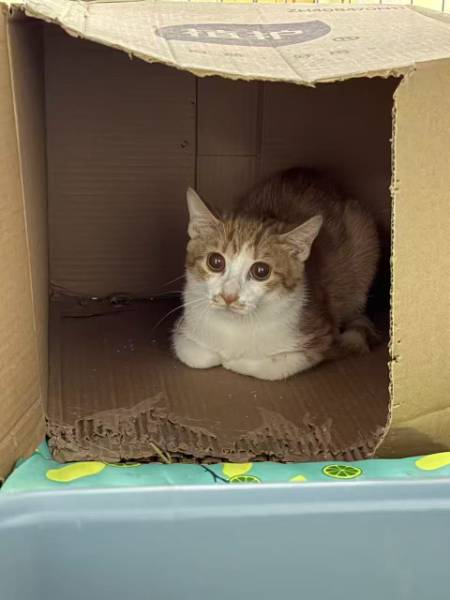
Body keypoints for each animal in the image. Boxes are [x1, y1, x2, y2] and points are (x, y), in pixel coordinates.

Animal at [172, 168, 380, 381]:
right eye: (215, 262)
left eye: (261, 271)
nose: (229, 296)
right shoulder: (182, 329)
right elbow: (197, 355)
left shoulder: (321, 335)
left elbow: (275, 365)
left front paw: (235, 362)